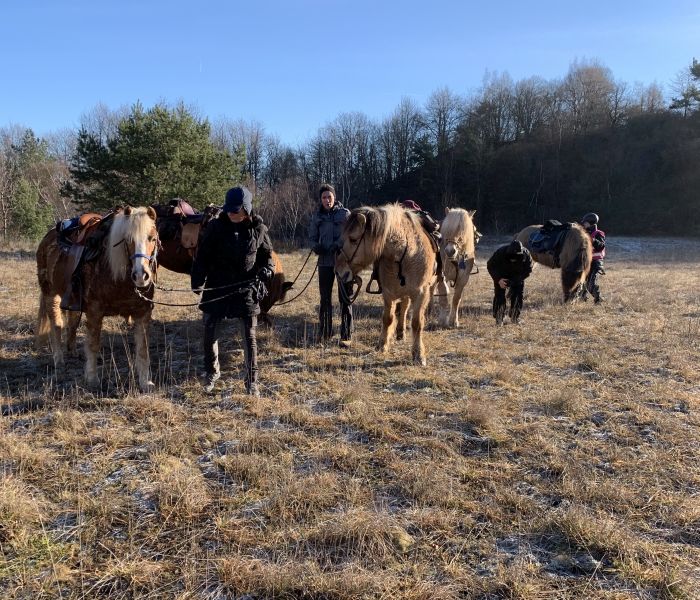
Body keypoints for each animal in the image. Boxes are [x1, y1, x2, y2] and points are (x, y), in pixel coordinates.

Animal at [37, 206, 161, 392]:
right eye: (127, 240)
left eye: (152, 238)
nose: (141, 276)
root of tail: (47, 238)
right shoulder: (95, 311)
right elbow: (93, 344)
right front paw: (92, 379)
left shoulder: (143, 312)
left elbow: (143, 348)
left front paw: (146, 383)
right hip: (51, 294)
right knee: (56, 325)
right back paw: (59, 360)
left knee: (72, 323)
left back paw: (73, 351)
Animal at [334, 203, 438, 366]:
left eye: (353, 239)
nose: (338, 271)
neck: (405, 254)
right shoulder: (388, 293)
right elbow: (388, 318)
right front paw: (382, 345)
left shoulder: (421, 293)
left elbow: (417, 323)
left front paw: (418, 354)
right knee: (404, 307)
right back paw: (400, 332)